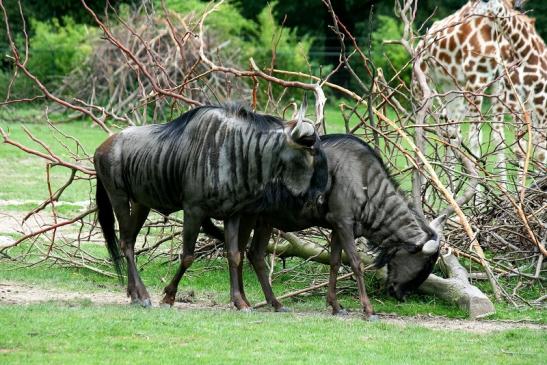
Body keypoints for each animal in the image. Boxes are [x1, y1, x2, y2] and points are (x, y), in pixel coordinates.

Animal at [416, 0, 540, 188]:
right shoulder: (477, 80)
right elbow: (475, 139)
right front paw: (479, 193)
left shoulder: (501, 84)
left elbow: (501, 137)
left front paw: (506, 190)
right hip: (422, 84)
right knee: (422, 132)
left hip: (451, 87)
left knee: (451, 132)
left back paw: (449, 185)